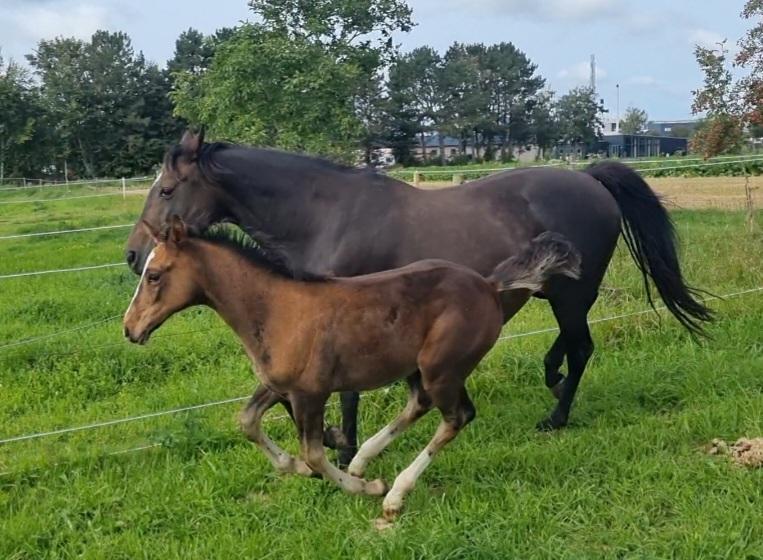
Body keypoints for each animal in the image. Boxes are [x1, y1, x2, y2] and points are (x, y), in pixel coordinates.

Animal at [122, 131, 712, 464]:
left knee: (581, 348)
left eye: (167, 190)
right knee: (567, 351)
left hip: (571, 297)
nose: (134, 254)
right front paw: (339, 443)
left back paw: (556, 415)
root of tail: (589, 177)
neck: (323, 215)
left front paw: (344, 446)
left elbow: (342, 396)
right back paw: (554, 384)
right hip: (557, 295)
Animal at [124, 217, 580, 520]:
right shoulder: (278, 385)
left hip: (443, 368)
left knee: (456, 416)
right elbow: (248, 422)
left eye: (155, 275)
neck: (275, 309)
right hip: (420, 368)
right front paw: (298, 466)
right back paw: (363, 458)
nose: (130, 329)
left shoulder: (310, 393)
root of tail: (487, 284)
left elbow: (313, 454)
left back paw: (393, 493)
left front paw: (364, 487)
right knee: (420, 404)